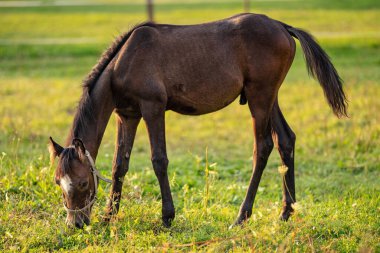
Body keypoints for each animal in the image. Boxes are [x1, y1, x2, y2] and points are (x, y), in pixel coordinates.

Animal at [48, 12, 348, 228]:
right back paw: (286, 212)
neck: (125, 61)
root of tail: (282, 26)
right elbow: (119, 165)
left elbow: (159, 160)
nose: (75, 224)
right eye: (58, 182)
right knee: (286, 140)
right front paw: (109, 216)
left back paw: (241, 217)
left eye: (83, 183)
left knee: (262, 147)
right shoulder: (128, 115)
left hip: (259, 97)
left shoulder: (153, 108)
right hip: (269, 97)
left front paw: (167, 216)